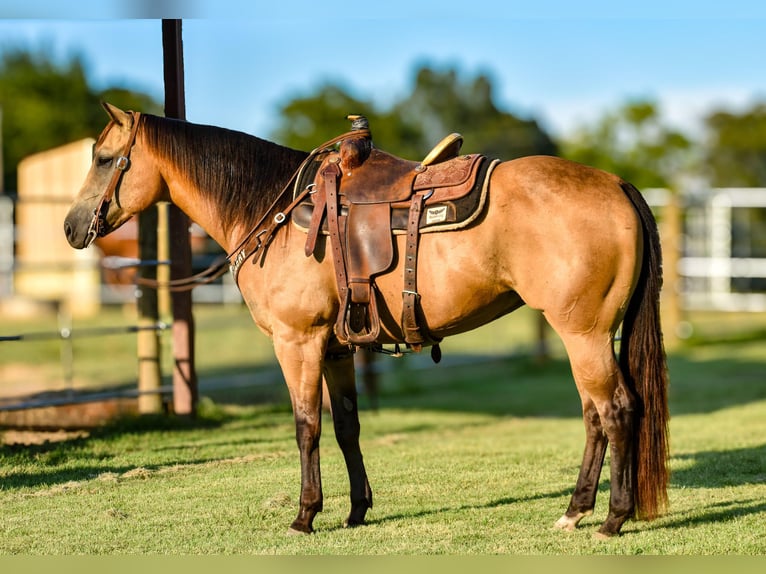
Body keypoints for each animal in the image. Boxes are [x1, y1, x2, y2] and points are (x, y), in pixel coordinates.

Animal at [64, 103, 669, 539]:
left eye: (104, 158)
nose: (71, 227)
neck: (273, 210)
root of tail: (617, 185)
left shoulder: (298, 343)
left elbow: (306, 427)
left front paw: (305, 515)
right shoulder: (334, 348)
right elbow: (347, 428)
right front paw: (356, 511)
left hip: (583, 334)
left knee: (616, 411)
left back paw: (612, 519)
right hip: (586, 337)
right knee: (594, 416)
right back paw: (576, 510)